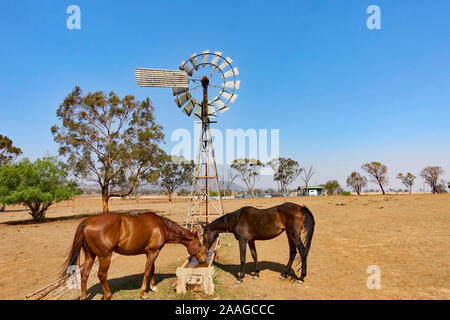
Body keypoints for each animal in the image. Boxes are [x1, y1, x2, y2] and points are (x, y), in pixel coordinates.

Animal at [61, 212, 206, 300]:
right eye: (199, 244)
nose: (204, 259)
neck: (162, 226)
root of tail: (88, 221)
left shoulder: (151, 252)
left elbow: (152, 269)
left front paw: (153, 287)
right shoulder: (153, 252)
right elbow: (147, 271)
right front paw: (143, 293)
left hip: (90, 255)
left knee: (84, 274)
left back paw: (84, 297)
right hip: (105, 256)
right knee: (101, 275)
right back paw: (109, 296)